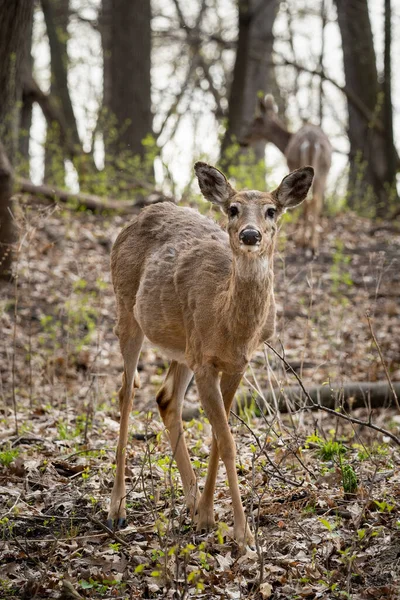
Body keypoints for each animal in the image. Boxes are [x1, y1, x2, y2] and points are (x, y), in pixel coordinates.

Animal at [108, 162, 314, 552]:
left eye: (271, 210)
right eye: (232, 209)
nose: (250, 234)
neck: (228, 323)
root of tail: (136, 217)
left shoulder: (236, 364)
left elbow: (220, 437)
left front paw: (206, 516)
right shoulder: (205, 362)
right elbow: (228, 442)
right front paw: (243, 534)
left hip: (181, 346)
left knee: (165, 398)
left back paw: (190, 503)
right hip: (127, 310)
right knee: (126, 393)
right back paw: (117, 509)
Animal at [244, 94, 332, 253]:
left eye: (254, 122)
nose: (242, 140)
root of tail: (311, 142)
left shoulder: (289, 165)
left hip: (298, 163)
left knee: (307, 203)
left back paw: (303, 241)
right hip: (324, 170)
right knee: (316, 201)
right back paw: (313, 244)